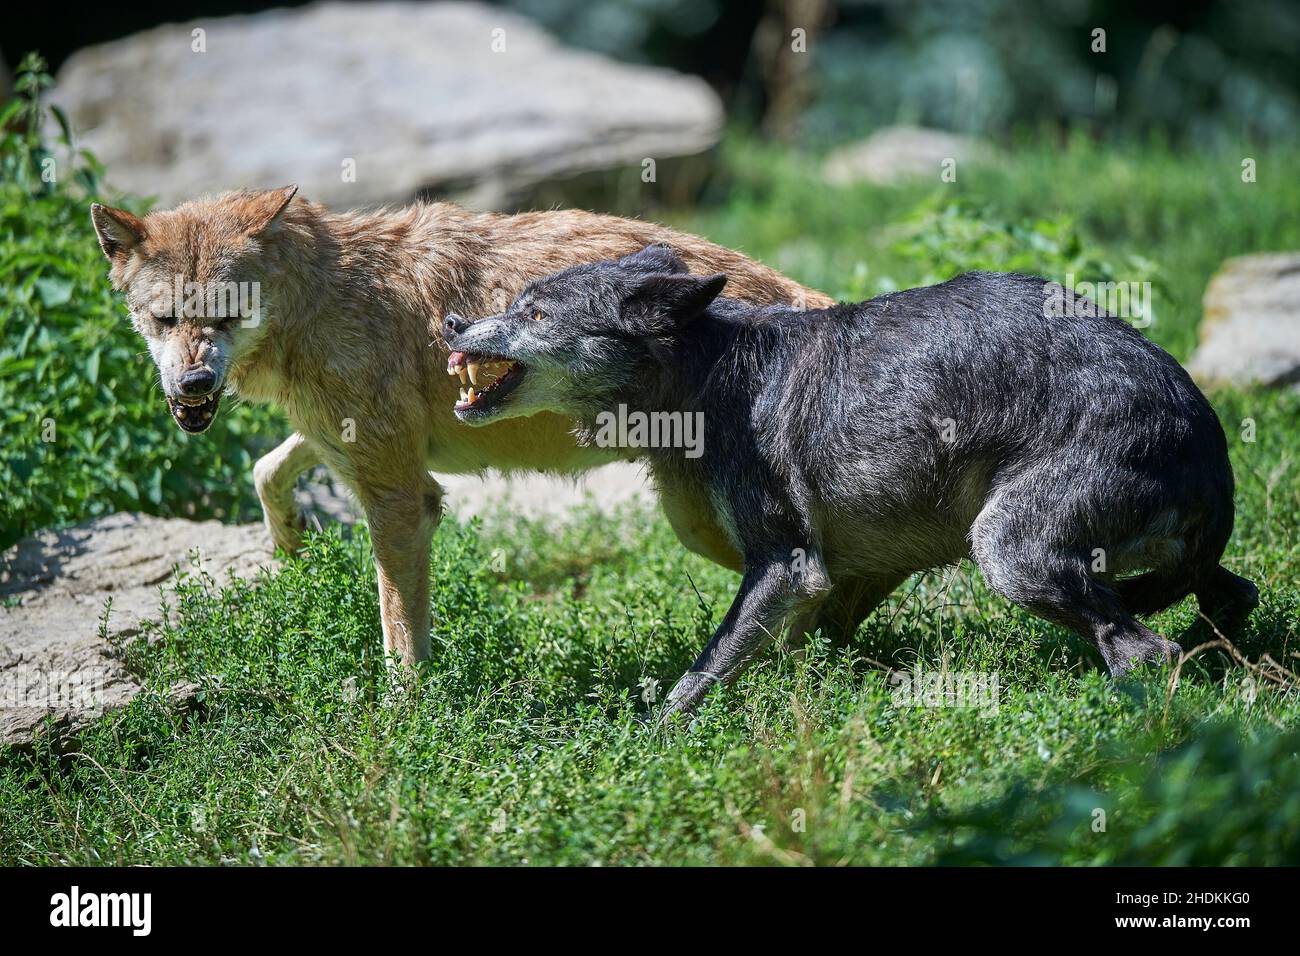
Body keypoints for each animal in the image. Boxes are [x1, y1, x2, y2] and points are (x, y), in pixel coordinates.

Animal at [90, 189, 830, 666]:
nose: (193, 384)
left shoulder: (400, 498)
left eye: (225, 315)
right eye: (165, 319)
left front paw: (402, 728)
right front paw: (291, 547)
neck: (322, 297)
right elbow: (266, 468)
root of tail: (805, 298)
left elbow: (399, 641)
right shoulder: (347, 443)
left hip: (709, 531)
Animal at [443, 245, 1259, 717]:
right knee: (1229, 595)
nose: (451, 323)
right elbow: (802, 649)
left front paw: (651, 740)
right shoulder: (846, 572)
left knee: (1145, 652)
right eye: (515, 300)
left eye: (534, 311)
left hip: (1009, 554)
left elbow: (699, 675)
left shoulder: (785, 565)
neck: (709, 374)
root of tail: (1207, 444)